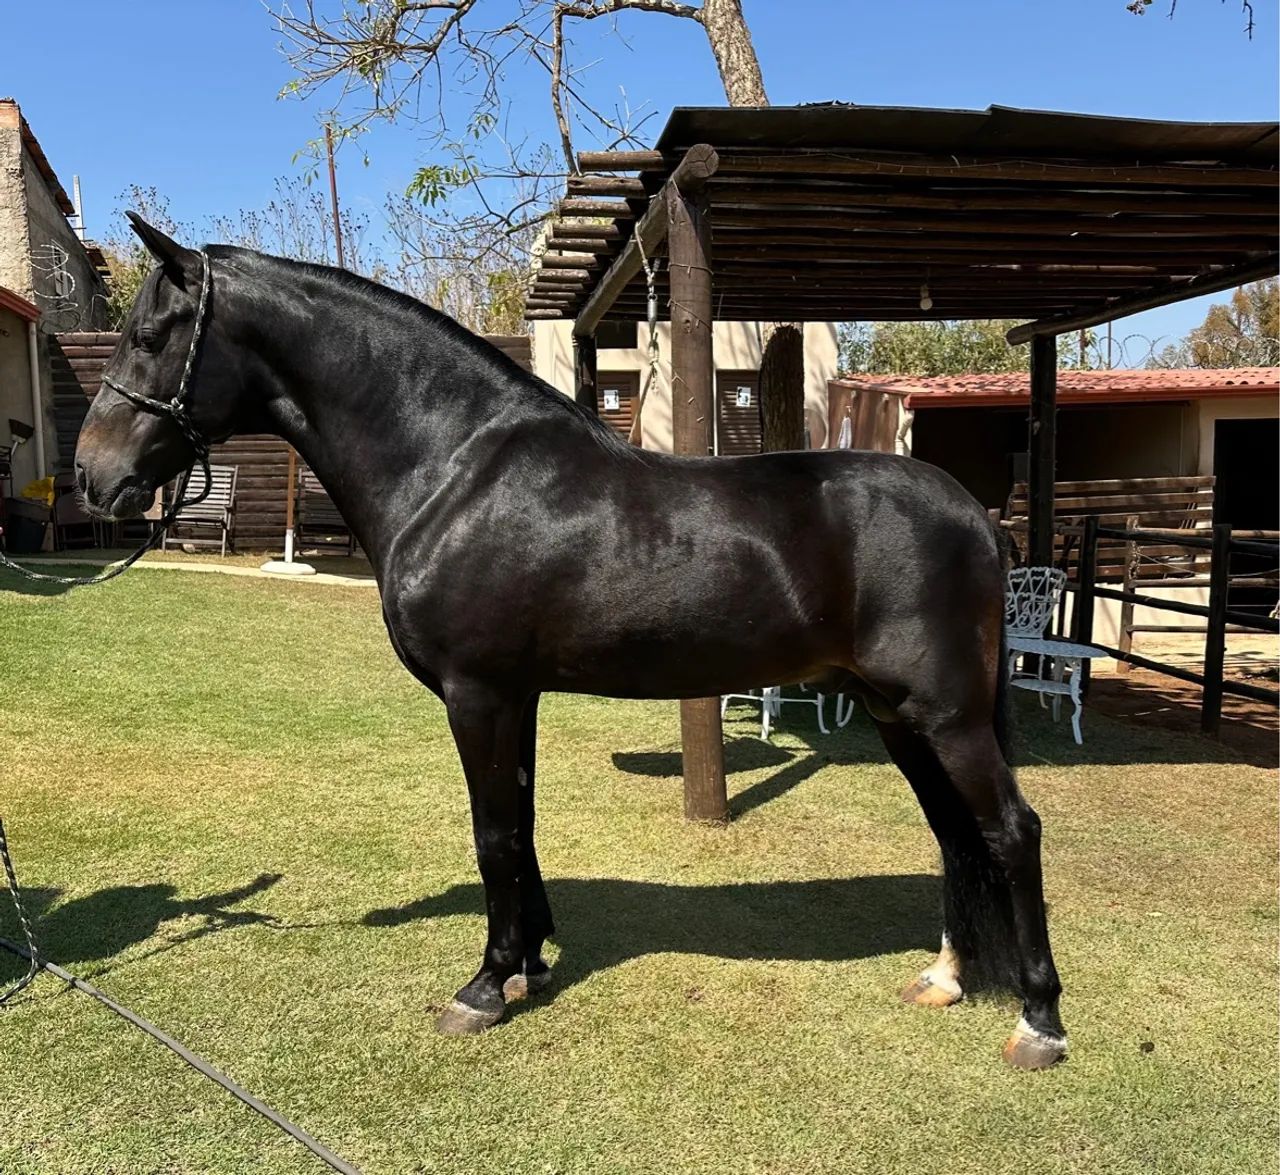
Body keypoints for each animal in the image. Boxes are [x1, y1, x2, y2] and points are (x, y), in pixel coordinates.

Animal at [73, 215, 1066, 1069]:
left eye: (151, 336)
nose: (92, 475)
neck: (455, 469)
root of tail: (976, 517)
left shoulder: (478, 693)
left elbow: (492, 833)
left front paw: (483, 985)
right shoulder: (519, 694)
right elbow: (522, 822)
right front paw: (531, 961)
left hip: (945, 714)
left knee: (1010, 829)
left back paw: (1040, 1019)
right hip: (898, 714)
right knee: (955, 832)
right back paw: (946, 977)